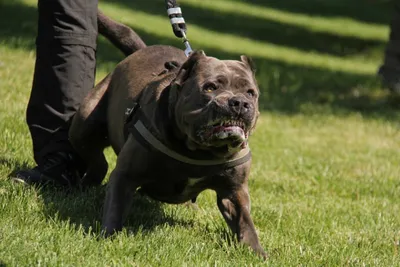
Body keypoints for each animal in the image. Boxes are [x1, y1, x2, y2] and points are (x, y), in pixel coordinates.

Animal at [69, 11, 266, 260]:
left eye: (251, 93)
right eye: (210, 87)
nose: (239, 102)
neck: (200, 151)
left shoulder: (234, 191)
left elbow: (245, 223)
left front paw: (256, 252)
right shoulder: (126, 175)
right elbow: (116, 207)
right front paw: (108, 237)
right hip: (84, 122)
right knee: (96, 159)